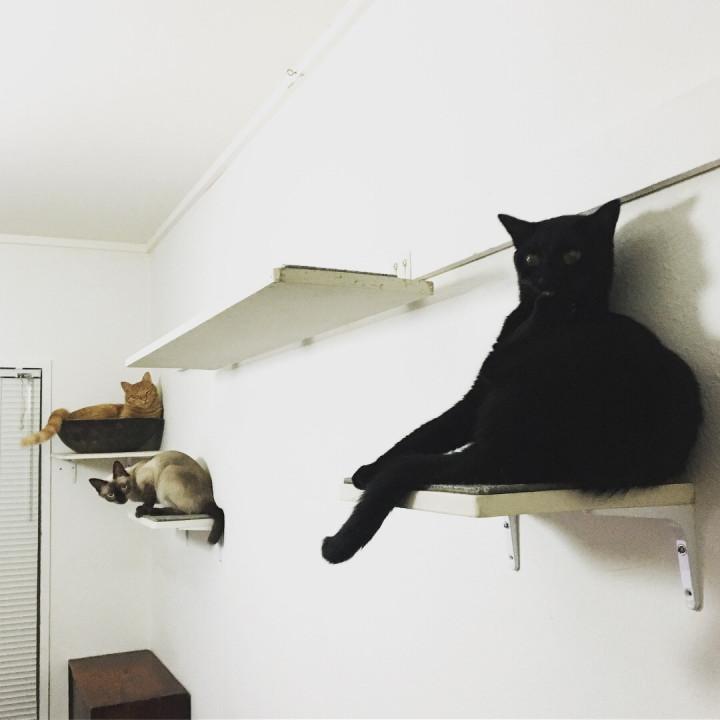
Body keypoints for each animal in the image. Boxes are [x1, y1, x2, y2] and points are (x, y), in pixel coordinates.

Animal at [21, 371, 163, 446]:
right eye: (135, 396)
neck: (145, 412)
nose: (143, 399)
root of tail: (69, 413)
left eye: (147, 392)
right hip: (108, 409)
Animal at [89, 450, 224, 544]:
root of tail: (210, 499)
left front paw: (142, 510)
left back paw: (151, 512)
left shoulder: (149, 482)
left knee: (186, 511)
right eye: (110, 495)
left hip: (166, 474)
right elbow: (150, 500)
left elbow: (149, 500)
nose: (121, 500)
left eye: (123, 487)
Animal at [322, 199, 702, 564]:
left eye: (572, 254)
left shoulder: (484, 383)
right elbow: (426, 432)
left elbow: (427, 432)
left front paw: (370, 472)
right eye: (531, 257)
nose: (546, 282)